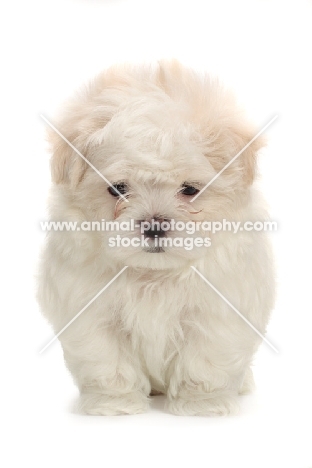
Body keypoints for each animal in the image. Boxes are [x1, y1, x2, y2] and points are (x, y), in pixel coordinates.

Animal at [37, 60, 274, 414]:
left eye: (190, 190)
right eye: (118, 189)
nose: (154, 225)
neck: (153, 275)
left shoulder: (216, 313)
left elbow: (203, 361)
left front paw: (201, 404)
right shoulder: (93, 314)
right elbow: (108, 361)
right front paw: (114, 403)